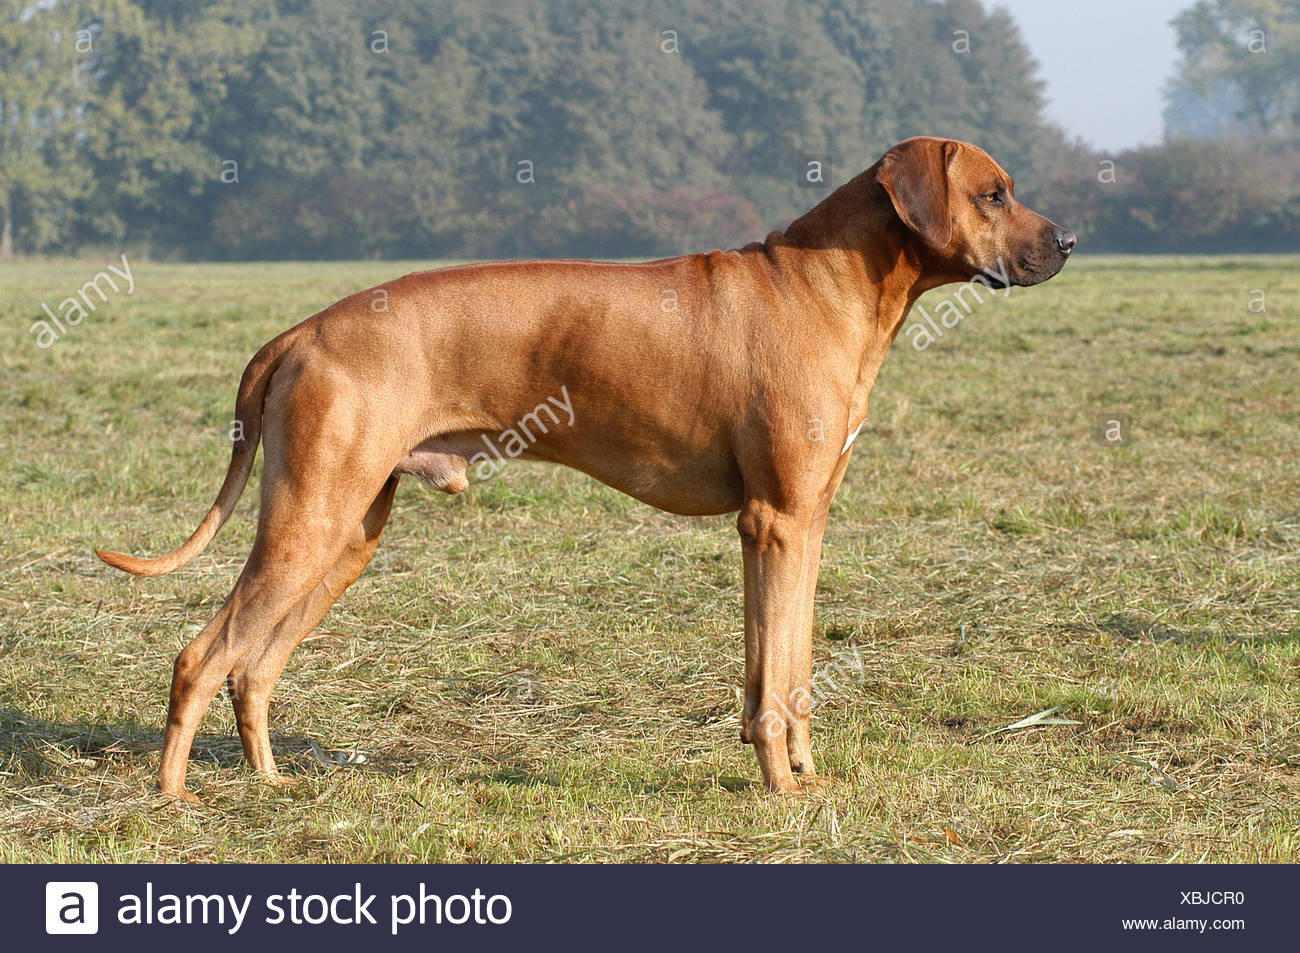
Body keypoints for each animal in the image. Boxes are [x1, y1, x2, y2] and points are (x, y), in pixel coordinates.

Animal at [98, 135, 1076, 800]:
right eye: (994, 194)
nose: (1068, 242)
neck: (825, 284)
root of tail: (300, 331)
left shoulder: (801, 523)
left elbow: (789, 669)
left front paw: (800, 769)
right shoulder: (776, 523)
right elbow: (772, 679)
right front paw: (781, 788)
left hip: (348, 532)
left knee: (253, 667)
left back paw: (268, 781)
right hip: (308, 520)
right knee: (201, 655)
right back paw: (173, 799)